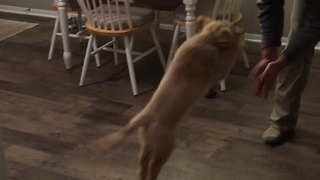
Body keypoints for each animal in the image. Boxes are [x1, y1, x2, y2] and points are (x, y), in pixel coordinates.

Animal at [87, 15, 242, 180]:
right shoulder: (217, 70)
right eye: (230, 26)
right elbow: (229, 56)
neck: (205, 37)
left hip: (146, 144)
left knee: (142, 165)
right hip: (165, 146)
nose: (239, 28)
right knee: (153, 167)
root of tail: (143, 118)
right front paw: (239, 40)